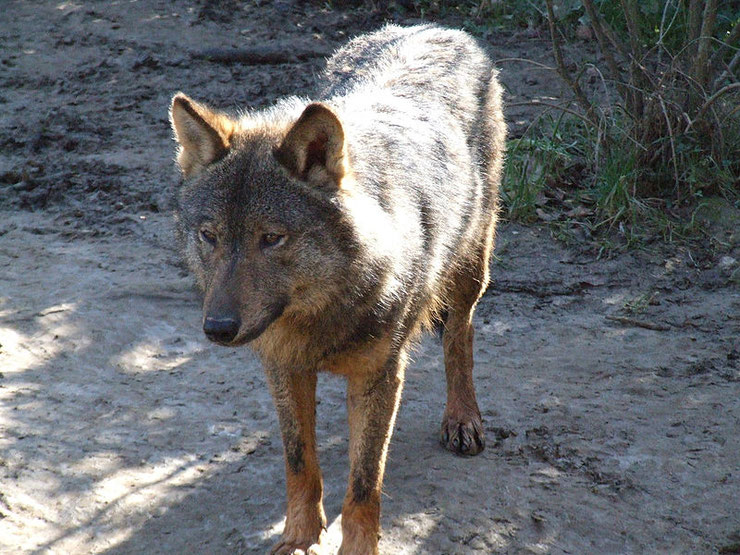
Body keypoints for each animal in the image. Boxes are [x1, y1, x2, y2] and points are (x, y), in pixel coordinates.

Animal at [168, 22, 502, 555]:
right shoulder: (282, 366)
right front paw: (298, 538)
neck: (321, 316)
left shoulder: (378, 376)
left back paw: (462, 419)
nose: (217, 328)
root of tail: (435, 27)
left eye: (272, 238)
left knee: (460, 333)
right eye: (209, 235)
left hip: (472, 265)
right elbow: (300, 461)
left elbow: (365, 482)